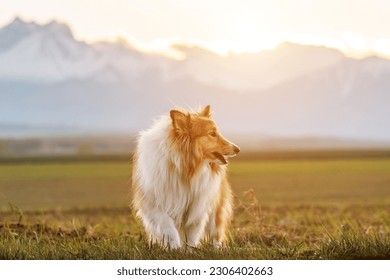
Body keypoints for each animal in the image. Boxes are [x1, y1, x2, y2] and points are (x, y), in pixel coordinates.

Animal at [133, 105, 239, 249]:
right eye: (212, 134)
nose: (237, 149)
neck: (185, 168)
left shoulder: (198, 207)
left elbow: (192, 235)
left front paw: (189, 250)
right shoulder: (154, 204)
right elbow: (168, 227)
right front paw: (174, 247)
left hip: (215, 209)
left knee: (215, 233)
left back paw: (217, 248)